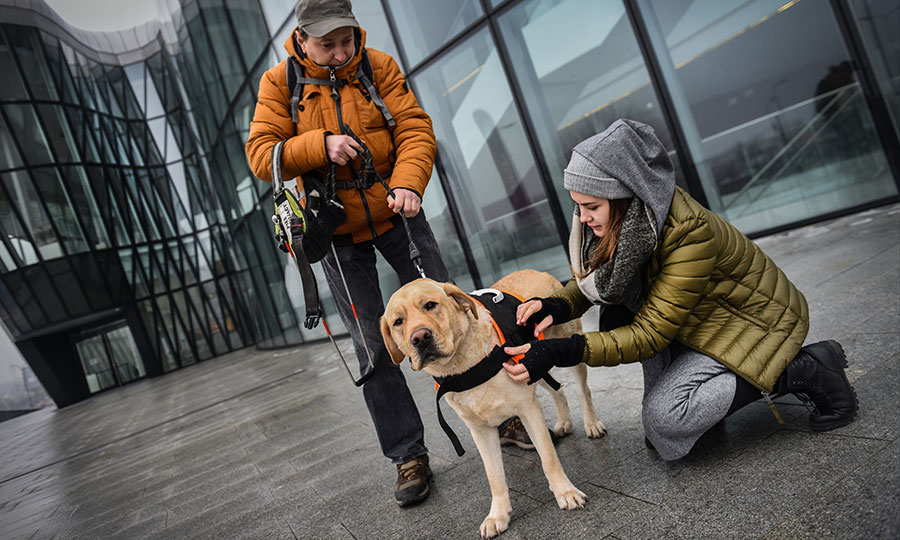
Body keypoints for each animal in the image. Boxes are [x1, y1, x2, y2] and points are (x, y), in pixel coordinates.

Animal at [380, 270, 604, 540]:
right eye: (398, 322)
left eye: (430, 305)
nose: (420, 338)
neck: (463, 366)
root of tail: (537, 271)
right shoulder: (480, 430)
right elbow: (494, 476)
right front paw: (498, 515)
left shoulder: (527, 408)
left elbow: (548, 458)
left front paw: (565, 492)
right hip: (534, 364)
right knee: (558, 390)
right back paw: (563, 423)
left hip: (559, 350)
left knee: (582, 390)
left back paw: (592, 423)